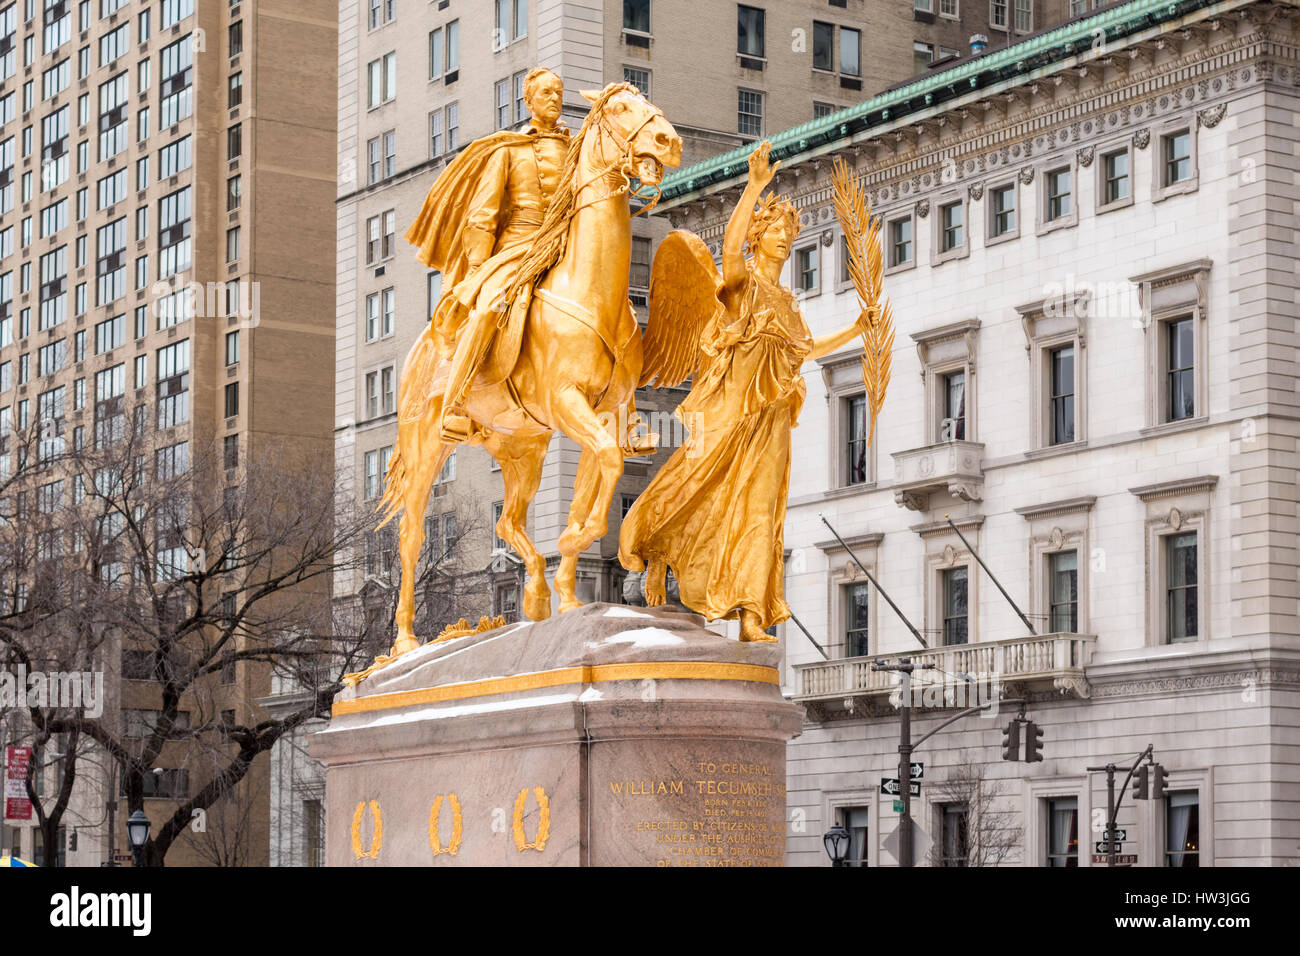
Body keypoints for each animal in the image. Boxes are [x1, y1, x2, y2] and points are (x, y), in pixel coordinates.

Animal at [379, 83, 686, 658]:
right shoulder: (566, 403)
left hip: (522, 448)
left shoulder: (602, 416)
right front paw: (577, 553)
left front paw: (568, 591)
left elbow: (600, 477)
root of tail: (417, 351)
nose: (668, 141)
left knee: (506, 520)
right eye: (620, 109)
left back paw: (537, 593)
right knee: (411, 535)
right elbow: (607, 466)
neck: (588, 288)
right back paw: (406, 641)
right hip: (427, 445)